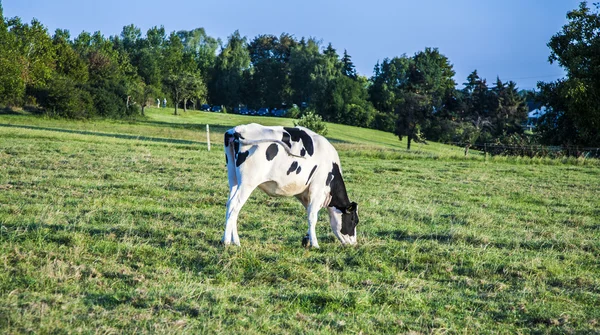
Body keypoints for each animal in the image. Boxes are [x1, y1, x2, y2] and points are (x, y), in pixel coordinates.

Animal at [223, 124, 358, 249]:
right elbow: (313, 216)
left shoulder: (305, 194)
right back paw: (226, 241)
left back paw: (235, 241)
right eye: (353, 220)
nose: (354, 244)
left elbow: (311, 213)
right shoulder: (317, 188)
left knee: (230, 204)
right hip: (248, 182)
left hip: (233, 178)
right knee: (234, 205)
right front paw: (315, 244)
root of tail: (237, 130)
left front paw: (306, 239)